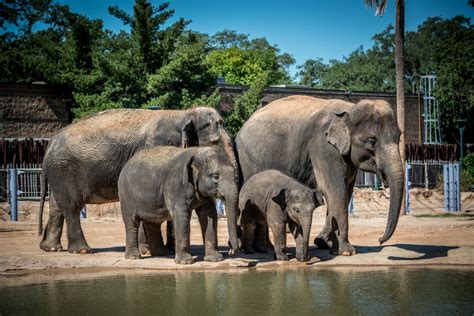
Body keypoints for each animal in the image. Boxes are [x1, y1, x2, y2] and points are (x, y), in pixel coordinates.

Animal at [38, 107, 241, 256]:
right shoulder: (158, 147)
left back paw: (51, 248)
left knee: (56, 205)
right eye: (214, 142)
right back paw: (82, 250)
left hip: (59, 172)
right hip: (64, 171)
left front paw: (168, 250)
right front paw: (148, 250)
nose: (232, 249)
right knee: (72, 206)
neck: (184, 113)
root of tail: (49, 144)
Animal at [237, 95, 404, 256]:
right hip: (248, 161)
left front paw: (323, 243)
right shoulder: (323, 147)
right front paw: (346, 252)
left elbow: (345, 192)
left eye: (399, 137)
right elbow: (334, 190)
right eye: (372, 141)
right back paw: (265, 249)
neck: (349, 109)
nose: (380, 240)